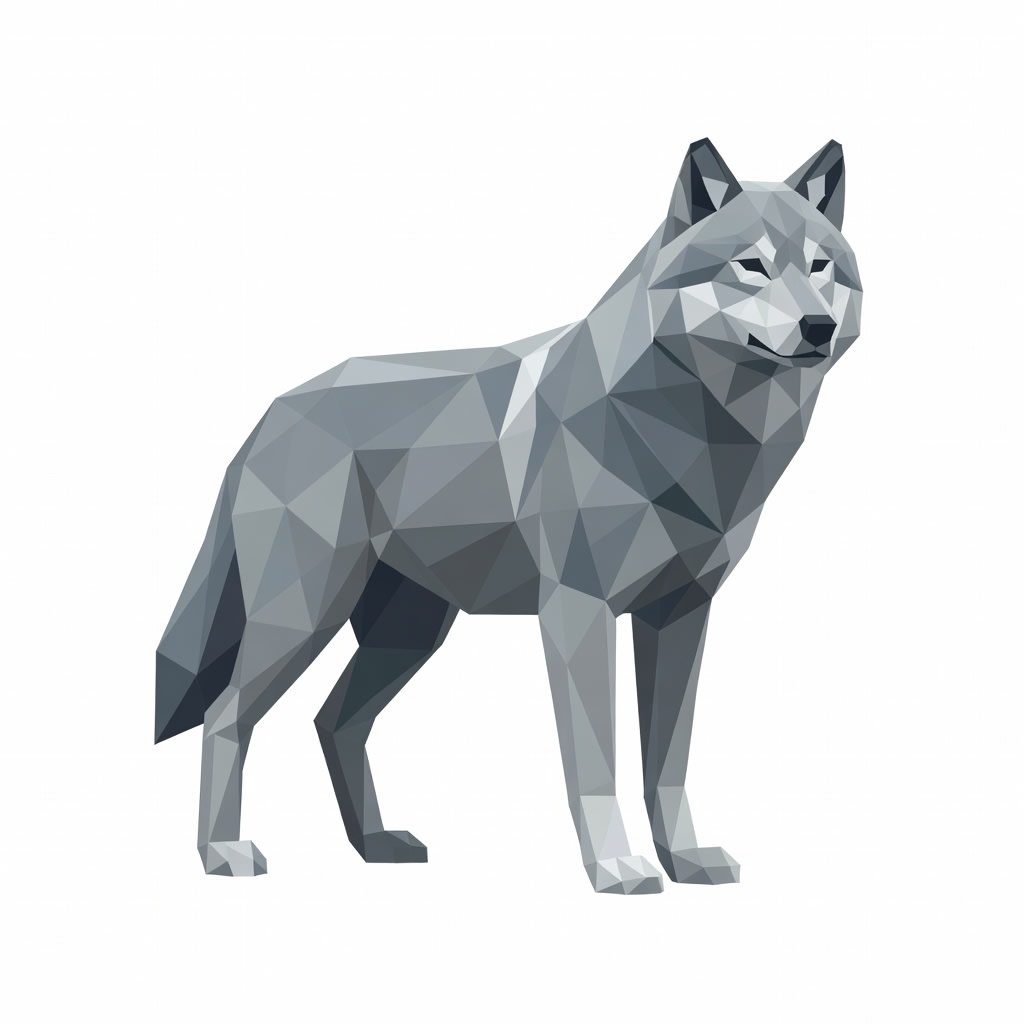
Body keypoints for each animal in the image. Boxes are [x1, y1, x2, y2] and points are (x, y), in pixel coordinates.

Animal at [156, 139, 862, 893]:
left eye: (820, 267)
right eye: (751, 266)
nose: (817, 326)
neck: (691, 437)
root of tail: (270, 413)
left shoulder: (681, 616)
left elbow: (667, 767)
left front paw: (685, 860)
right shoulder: (578, 613)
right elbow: (598, 766)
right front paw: (616, 867)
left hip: (405, 638)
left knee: (333, 722)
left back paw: (375, 843)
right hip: (303, 621)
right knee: (226, 716)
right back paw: (223, 853)